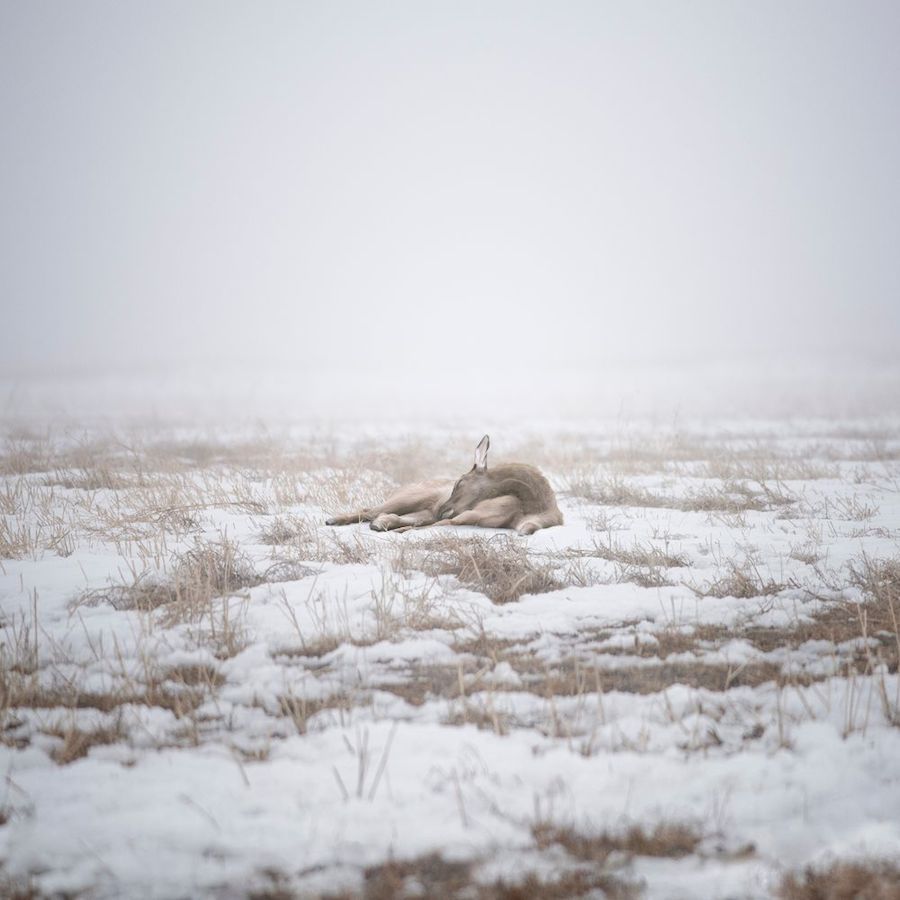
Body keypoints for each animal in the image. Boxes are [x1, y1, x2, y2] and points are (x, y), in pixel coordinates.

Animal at [324, 434, 564, 536]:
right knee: (371, 510)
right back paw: (333, 519)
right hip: (408, 499)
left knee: (388, 516)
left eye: (460, 482)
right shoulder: (467, 514)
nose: (443, 507)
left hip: (423, 510)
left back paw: (382, 524)